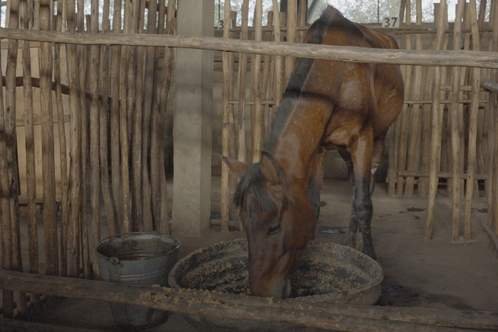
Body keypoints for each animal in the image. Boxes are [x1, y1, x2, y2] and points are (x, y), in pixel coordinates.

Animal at [224, 5, 402, 298]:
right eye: (243, 225)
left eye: (274, 227)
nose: (261, 292)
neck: (337, 74)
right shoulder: (318, 148)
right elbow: (316, 204)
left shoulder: (362, 138)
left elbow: (363, 204)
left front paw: (371, 257)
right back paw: (349, 239)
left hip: (379, 137)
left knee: (366, 187)